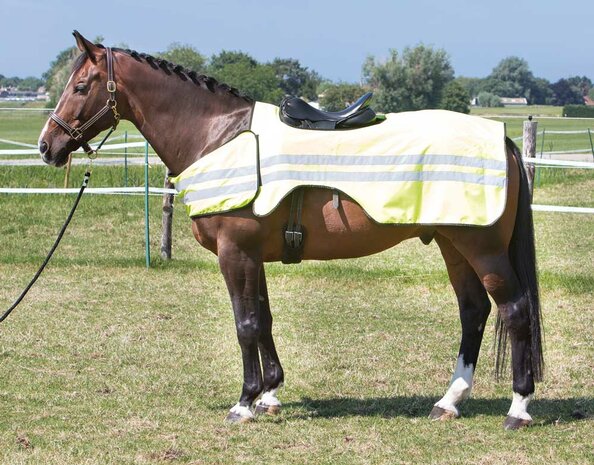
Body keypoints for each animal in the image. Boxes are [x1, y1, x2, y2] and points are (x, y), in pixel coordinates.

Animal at [38, 32, 540, 430]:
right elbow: (263, 320)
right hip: (454, 246)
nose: (47, 146)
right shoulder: (252, 255)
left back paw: (518, 408)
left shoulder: (235, 253)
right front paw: (270, 394)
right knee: (474, 311)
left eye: (80, 86)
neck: (219, 137)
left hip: (483, 248)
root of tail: (502, 139)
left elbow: (245, 324)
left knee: (514, 310)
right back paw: (448, 402)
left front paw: (244, 402)